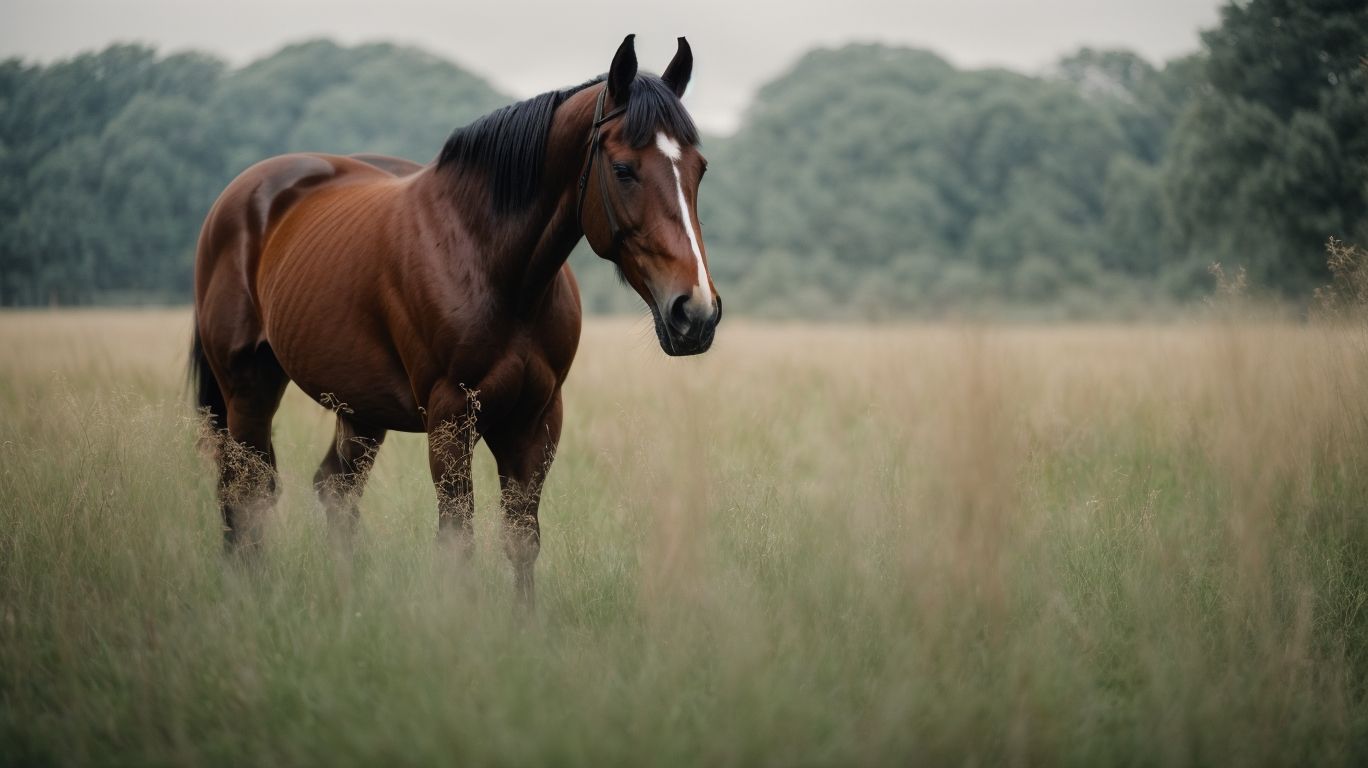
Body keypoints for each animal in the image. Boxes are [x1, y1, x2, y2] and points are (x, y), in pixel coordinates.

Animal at [189, 35, 721, 604]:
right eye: (623, 169)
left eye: (699, 168)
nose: (695, 311)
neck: (491, 264)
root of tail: (240, 197)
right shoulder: (450, 419)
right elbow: (457, 539)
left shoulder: (536, 420)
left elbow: (521, 539)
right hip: (248, 388)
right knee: (245, 490)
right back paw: (247, 591)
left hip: (358, 410)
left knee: (332, 490)